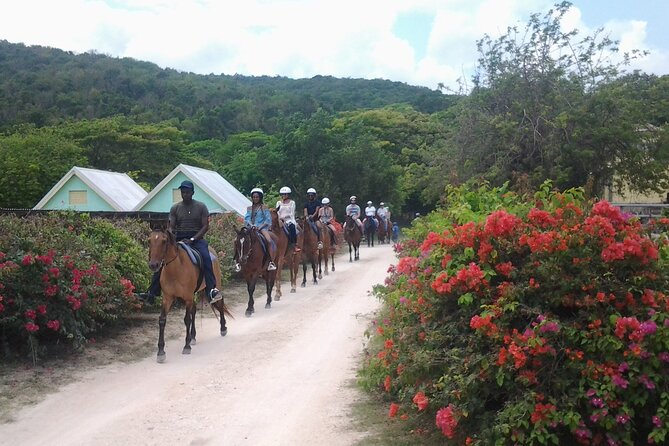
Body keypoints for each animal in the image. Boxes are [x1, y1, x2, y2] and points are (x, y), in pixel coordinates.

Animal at [146, 228, 232, 364]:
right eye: (149, 241)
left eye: (164, 241)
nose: (153, 265)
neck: (175, 269)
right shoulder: (168, 298)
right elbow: (162, 320)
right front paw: (161, 352)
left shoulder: (187, 297)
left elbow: (187, 319)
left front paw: (186, 346)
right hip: (191, 296)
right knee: (194, 311)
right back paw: (193, 336)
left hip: (216, 284)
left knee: (220, 302)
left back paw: (223, 328)